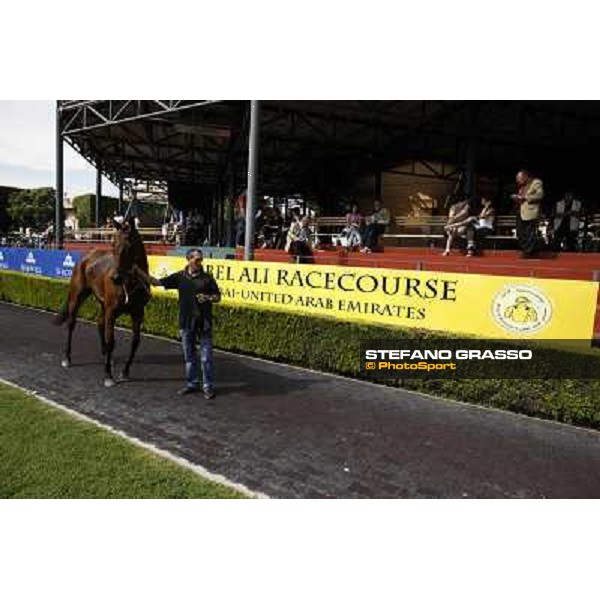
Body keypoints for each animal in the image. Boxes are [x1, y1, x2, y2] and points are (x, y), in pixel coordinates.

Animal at [55, 218, 151, 386]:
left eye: (128, 247)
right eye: (113, 245)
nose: (115, 278)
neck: (129, 283)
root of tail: (87, 256)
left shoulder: (138, 312)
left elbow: (135, 341)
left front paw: (125, 372)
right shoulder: (112, 310)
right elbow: (111, 340)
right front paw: (108, 375)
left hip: (103, 302)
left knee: (100, 323)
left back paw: (106, 355)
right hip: (77, 296)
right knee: (71, 324)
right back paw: (67, 358)